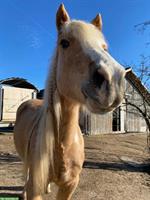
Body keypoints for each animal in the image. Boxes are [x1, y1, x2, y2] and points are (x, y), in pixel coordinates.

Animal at [13, 3, 126, 200]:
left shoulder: (70, 185)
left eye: (104, 47)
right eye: (64, 43)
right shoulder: (35, 185)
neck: (63, 145)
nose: (114, 79)